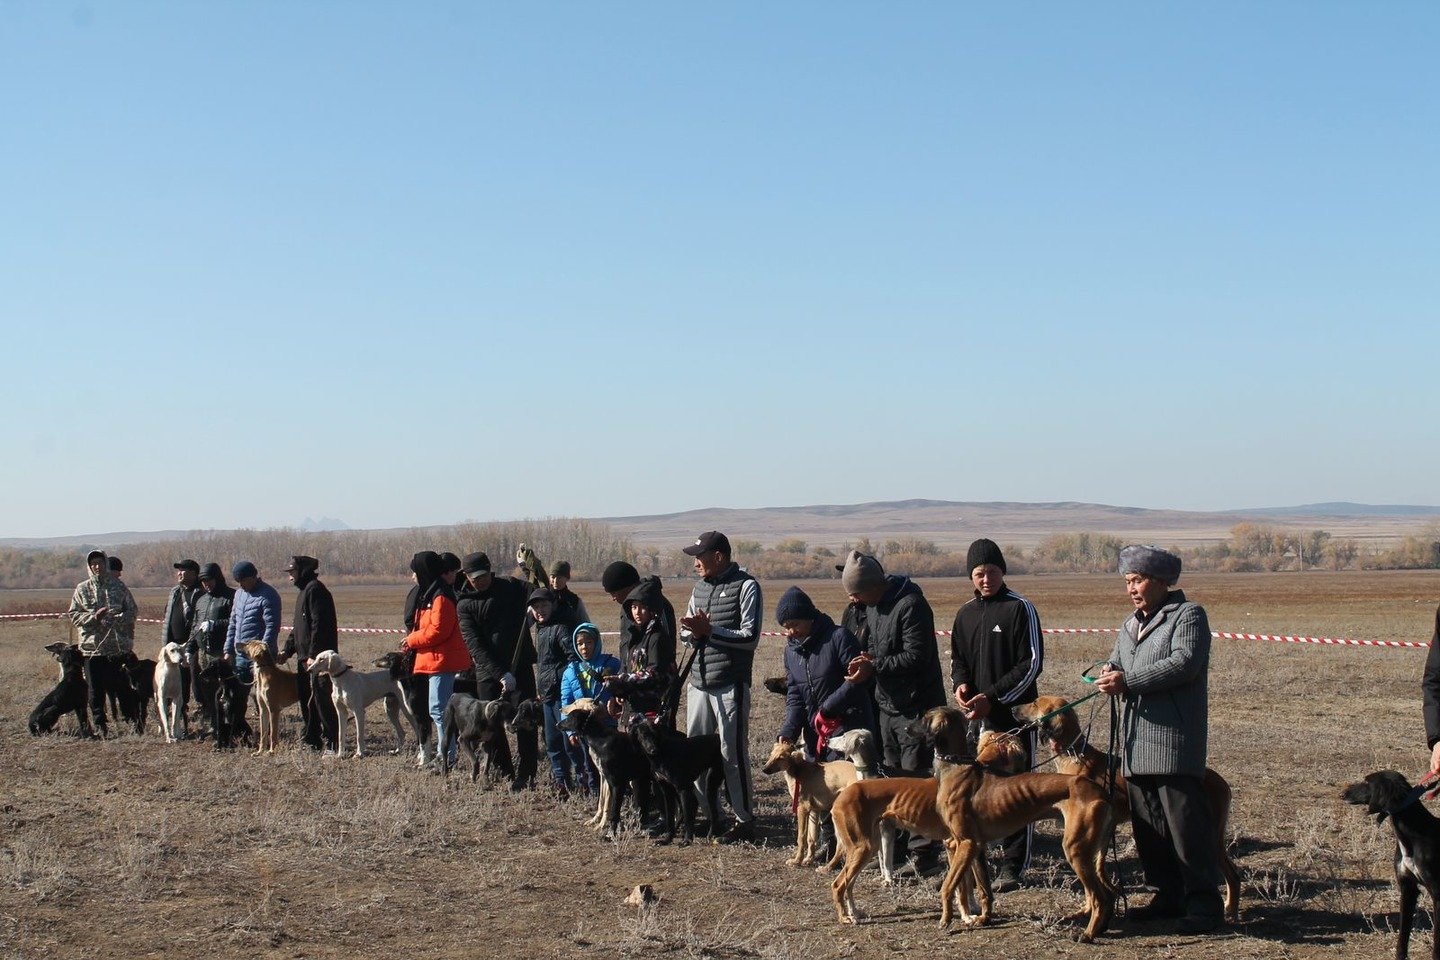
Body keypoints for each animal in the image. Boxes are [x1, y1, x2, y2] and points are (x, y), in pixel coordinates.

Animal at [1013, 699, 1238, 921]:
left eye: (1034, 703)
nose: (1013, 708)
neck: (1075, 754)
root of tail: (1221, 781)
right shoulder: (1105, 828)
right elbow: (1098, 866)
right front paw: (1093, 905)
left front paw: (1090, 907)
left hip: (1208, 834)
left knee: (1232, 872)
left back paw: (1230, 910)